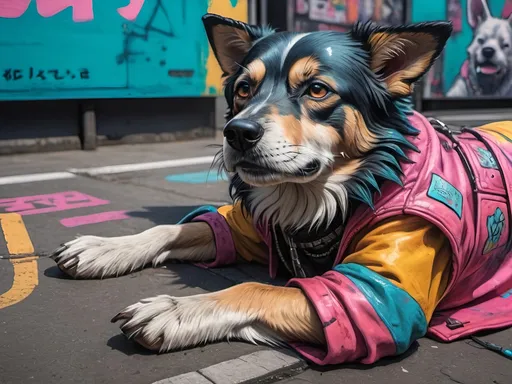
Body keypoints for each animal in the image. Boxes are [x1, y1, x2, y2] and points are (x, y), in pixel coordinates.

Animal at [51, 13, 512, 364]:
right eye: (243, 88)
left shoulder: (375, 298)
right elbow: (176, 227)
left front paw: (175, 310)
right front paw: (103, 248)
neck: (318, 199)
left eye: (317, 89)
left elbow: (255, 288)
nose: (237, 133)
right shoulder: (249, 226)